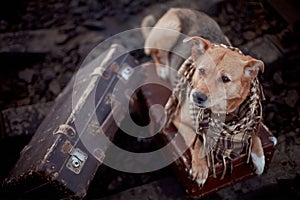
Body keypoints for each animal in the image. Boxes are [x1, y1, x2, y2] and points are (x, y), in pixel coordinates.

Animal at [142, 7, 276, 186]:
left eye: (225, 79)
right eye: (201, 70)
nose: (197, 96)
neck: (222, 113)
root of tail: (177, 8)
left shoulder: (252, 115)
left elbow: (254, 131)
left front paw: (259, 156)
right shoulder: (179, 119)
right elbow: (197, 140)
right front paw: (200, 167)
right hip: (171, 29)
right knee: (154, 52)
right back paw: (163, 68)